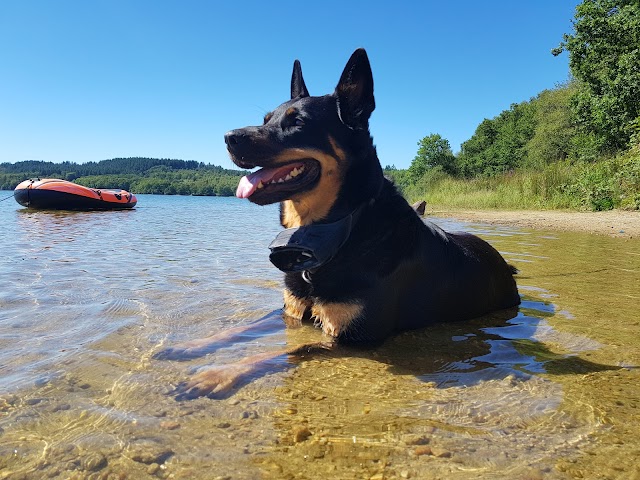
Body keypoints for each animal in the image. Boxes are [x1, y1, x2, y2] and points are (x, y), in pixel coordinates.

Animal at [161, 49, 520, 402]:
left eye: (297, 122)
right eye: (266, 120)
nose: (229, 138)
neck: (333, 236)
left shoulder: (353, 338)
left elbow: (292, 350)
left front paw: (218, 373)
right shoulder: (288, 311)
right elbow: (244, 326)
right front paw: (190, 345)